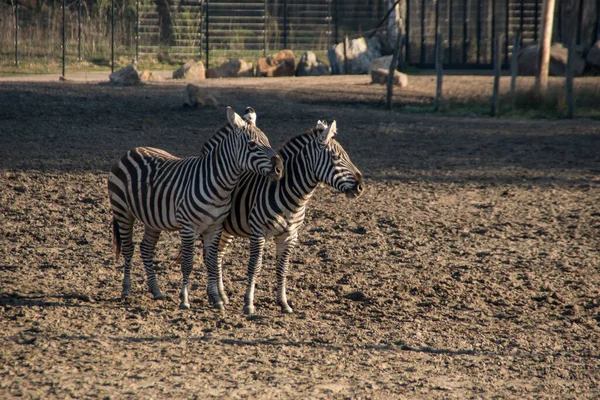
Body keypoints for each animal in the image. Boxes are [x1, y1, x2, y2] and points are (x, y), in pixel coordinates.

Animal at [107, 106, 284, 310]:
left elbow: (212, 261)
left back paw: (156, 291)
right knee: (129, 248)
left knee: (146, 248)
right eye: (252, 144)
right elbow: (188, 263)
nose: (279, 168)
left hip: (152, 219)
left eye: (268, 141)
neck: (219, 185)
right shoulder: (188, 227)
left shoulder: (214, 228)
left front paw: (216, 299)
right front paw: (185, 300)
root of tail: (132, 149)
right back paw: (126, 290)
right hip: (123, 212)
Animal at [216, 119, 364, 316]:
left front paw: (283, 303)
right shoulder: (258, 232)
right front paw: (249, 304)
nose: (361, 186)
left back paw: (222, 296)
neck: (292, 196)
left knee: (218, 255)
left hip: (227, 229)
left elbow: (282, 268)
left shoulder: (289, 235)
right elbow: (255, 266)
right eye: (335, 157)